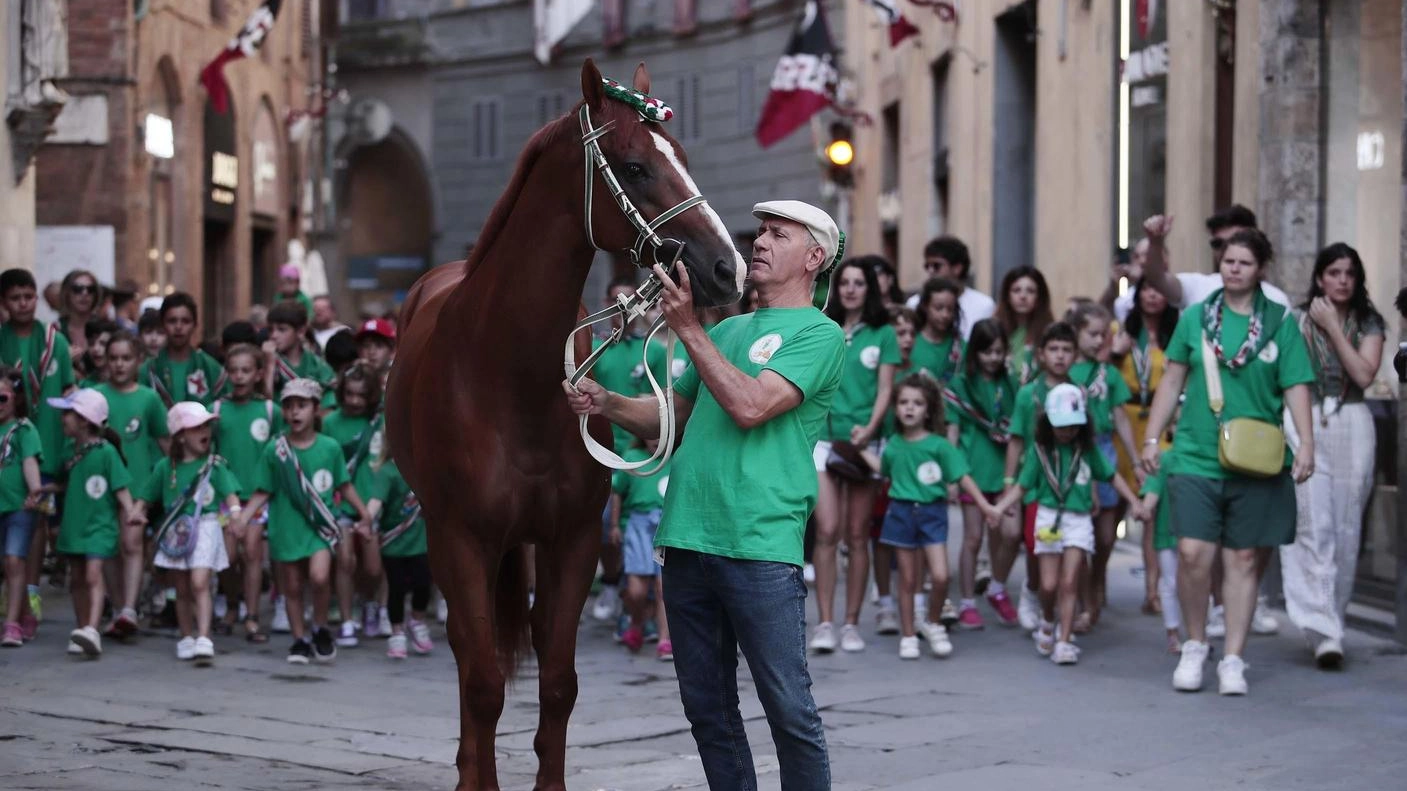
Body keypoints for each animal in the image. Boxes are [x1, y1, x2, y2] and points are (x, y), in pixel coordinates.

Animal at [379, 61, 742, 788]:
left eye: (683, 158)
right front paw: (477, 775)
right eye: (634, 166)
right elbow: (483, 682)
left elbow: (558, 682)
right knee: (469, 656)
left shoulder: (573, 540)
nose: (726, 266)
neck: (509, 371)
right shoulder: (461, 538)